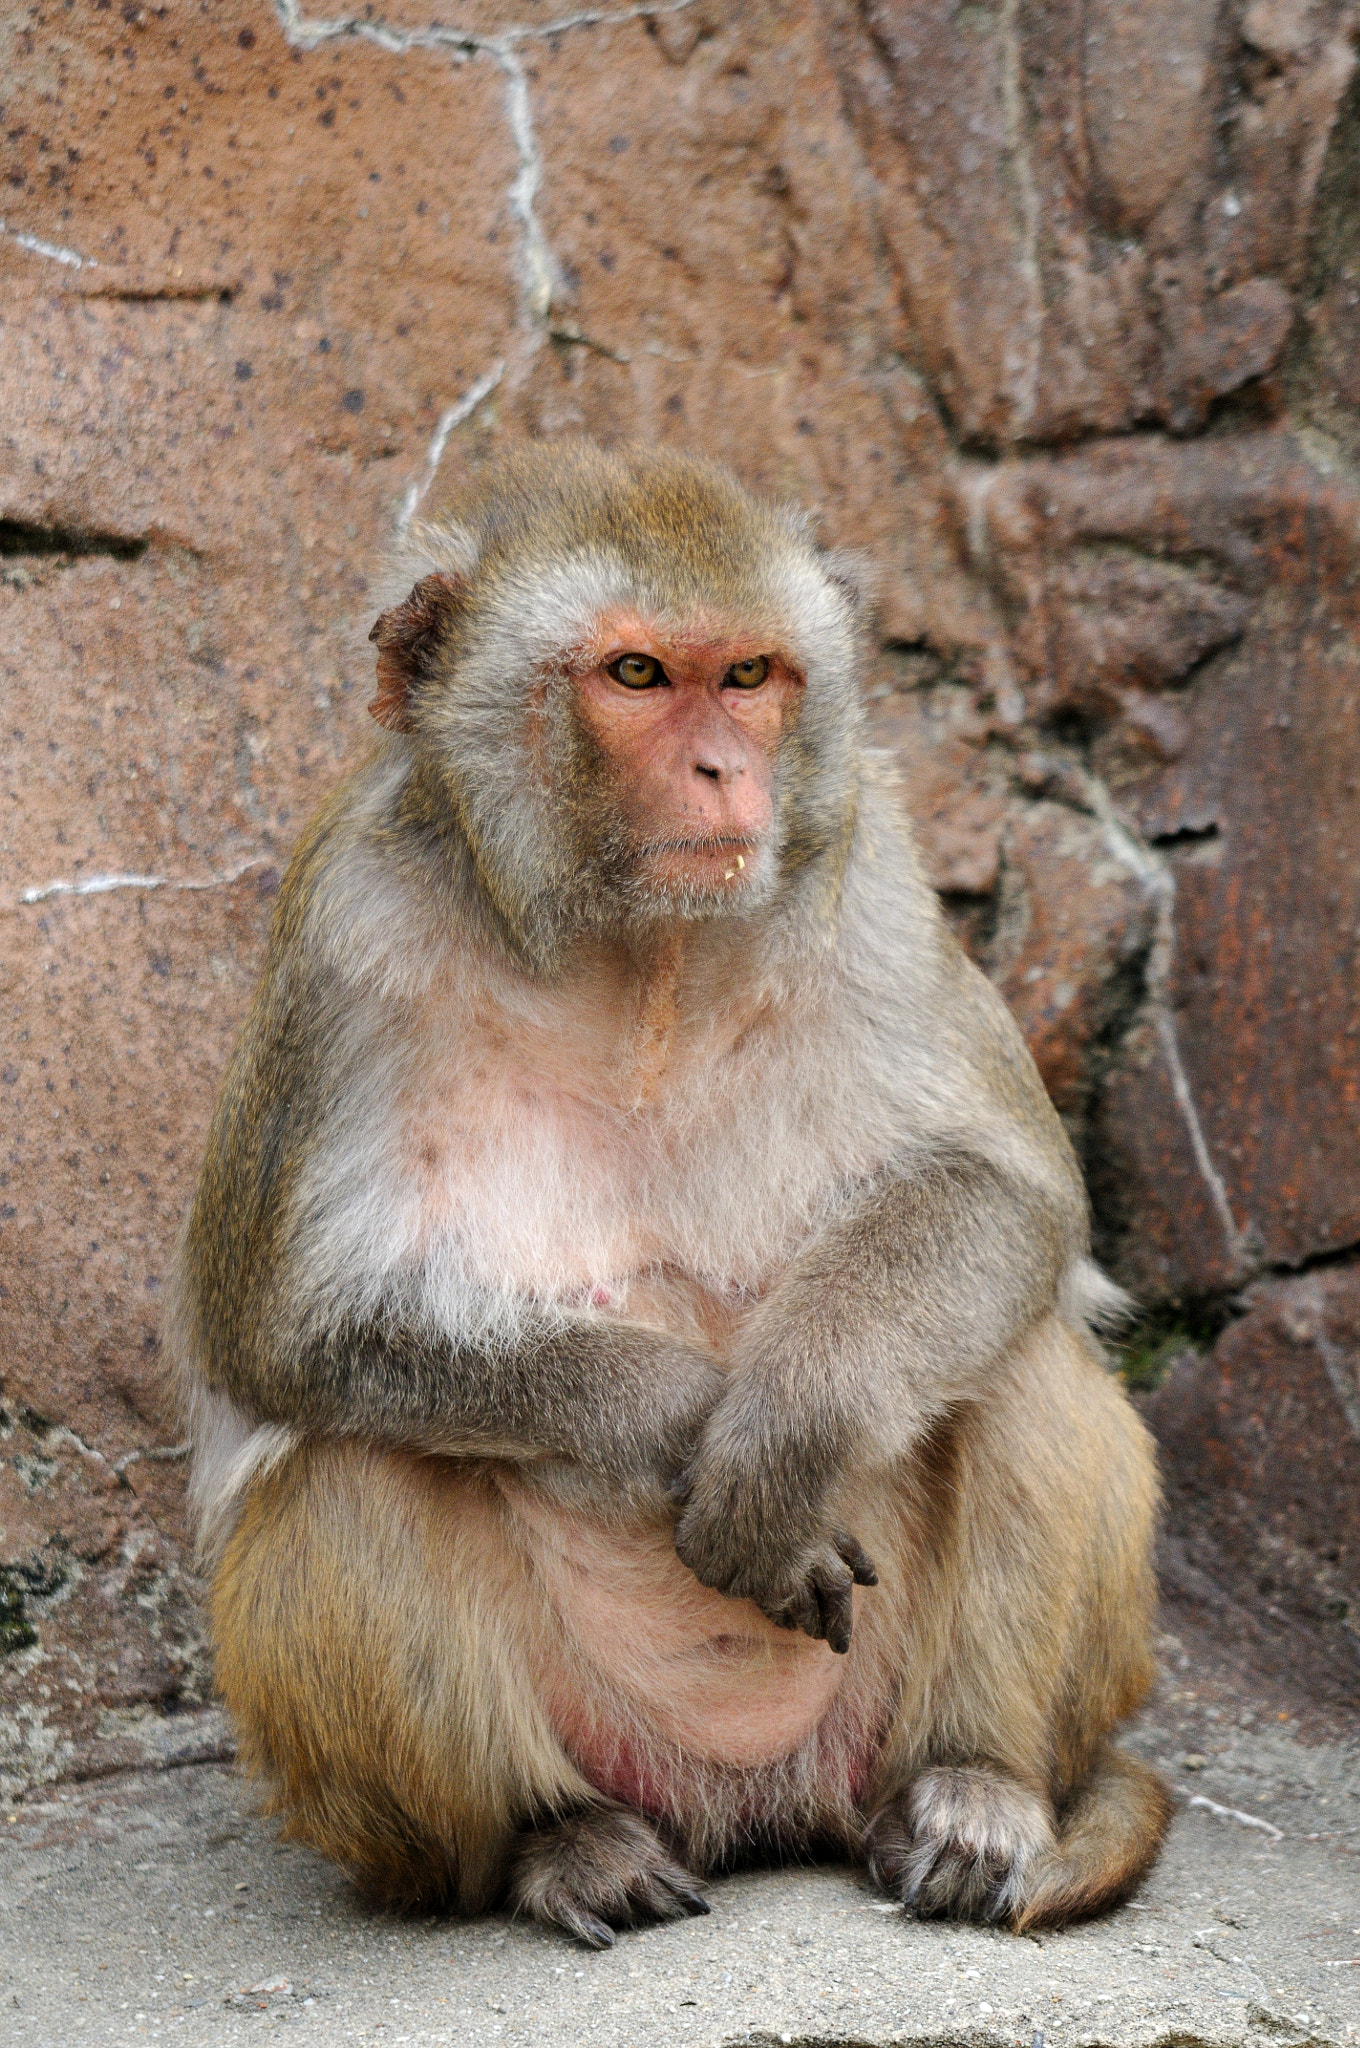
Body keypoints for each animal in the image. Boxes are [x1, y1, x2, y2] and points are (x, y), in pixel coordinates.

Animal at [167, 440, 1171, 1946]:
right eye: (637, 675)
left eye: (748, 675)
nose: (720, 769)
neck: (640, 957)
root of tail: (766, 1807)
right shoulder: (345, 926)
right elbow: (280, 1326)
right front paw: (676, 1421)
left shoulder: (869, 866)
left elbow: (1008, 1193)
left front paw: (778, 1435)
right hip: (578, 1754)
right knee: (350, 1464)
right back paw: (557, 1841)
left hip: (880, 1717)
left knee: (1017, 1352)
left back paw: (974, 1789)